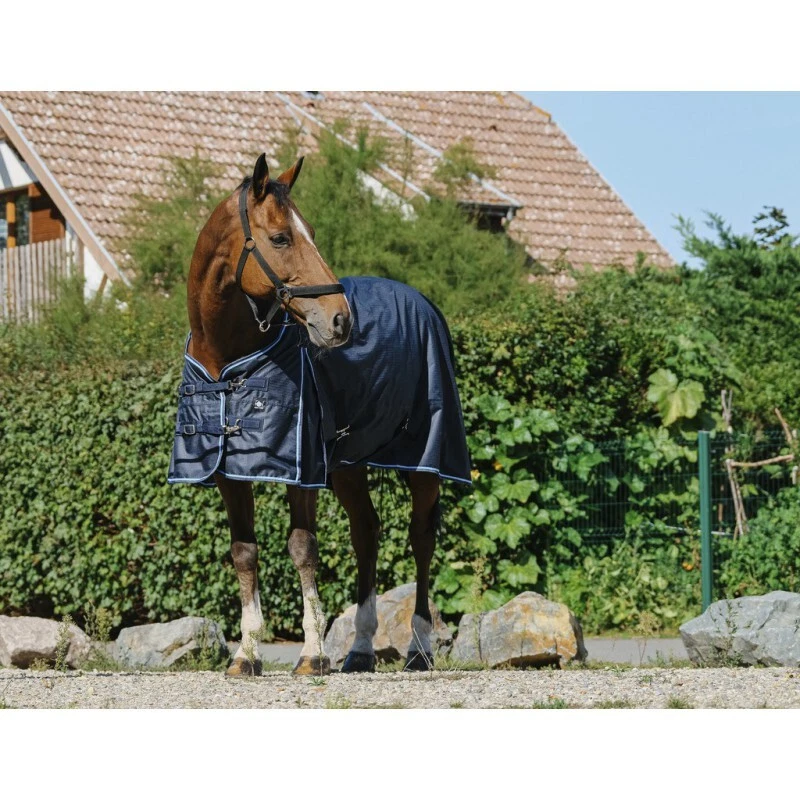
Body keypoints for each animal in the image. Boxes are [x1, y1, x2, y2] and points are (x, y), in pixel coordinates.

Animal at [168, 154, 471, 676]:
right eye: (280, 238)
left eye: (309, 231)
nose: (340, 320)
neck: (227, 361)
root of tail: (424, 304)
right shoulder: (228, 469)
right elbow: (244, 552)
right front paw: (246, 655)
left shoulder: (301, 467)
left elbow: (302, 547)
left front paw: (311, 653)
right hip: (348, 466)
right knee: (366, 533)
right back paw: (361, 650)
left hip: (425, 461)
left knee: (420, 539)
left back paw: (418, 649)